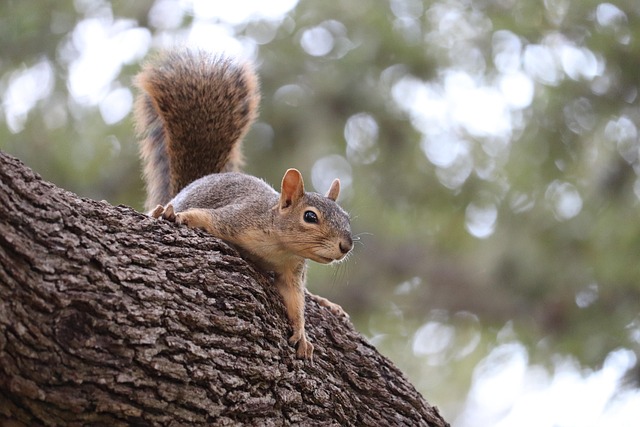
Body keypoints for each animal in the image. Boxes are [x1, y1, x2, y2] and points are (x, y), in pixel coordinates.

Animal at [134, 49, 353, 360]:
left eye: (346, 217)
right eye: (310, 217)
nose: (347, 246)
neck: (279, 246)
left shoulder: (292, 271)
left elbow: (296, 300)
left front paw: (301, 333)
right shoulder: (237, 218)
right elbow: (205, 217)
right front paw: (178, 216)